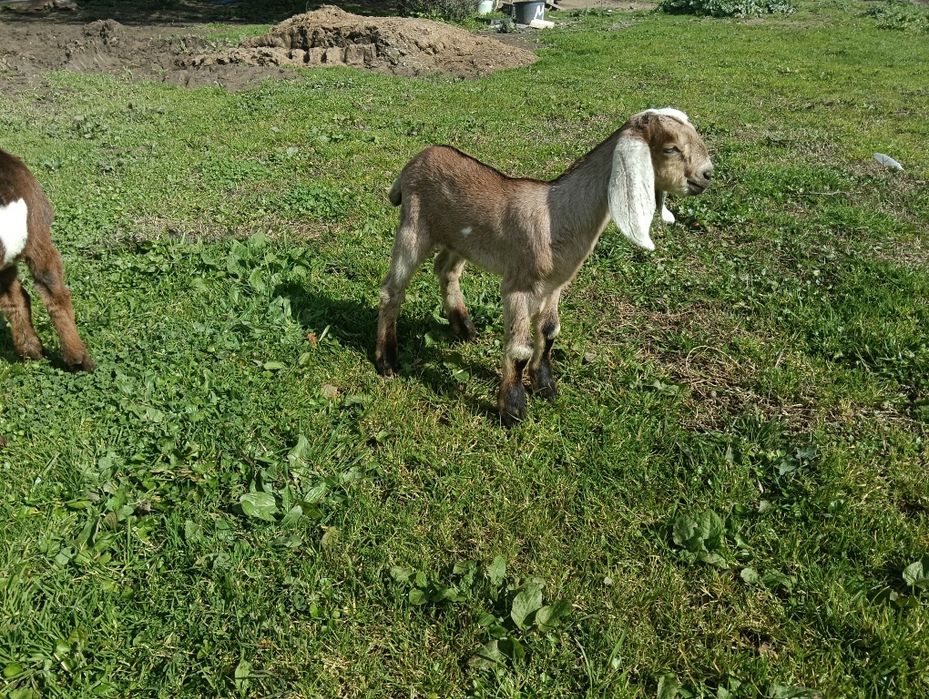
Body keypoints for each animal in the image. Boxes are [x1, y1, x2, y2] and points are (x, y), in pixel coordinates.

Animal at [376, 108, 712, 425]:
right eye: (670, 148)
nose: (707, 174)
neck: (558, 215)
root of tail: (416, 160)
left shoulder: (556, 285)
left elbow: (550, 332)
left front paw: (545, 386)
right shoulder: (519, 286)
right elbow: (519, 349)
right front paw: (512, 409)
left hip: (460, 240)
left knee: (446, 270)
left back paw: (464, 328)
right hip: (414, 228)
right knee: (392, 290)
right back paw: (386, 359)